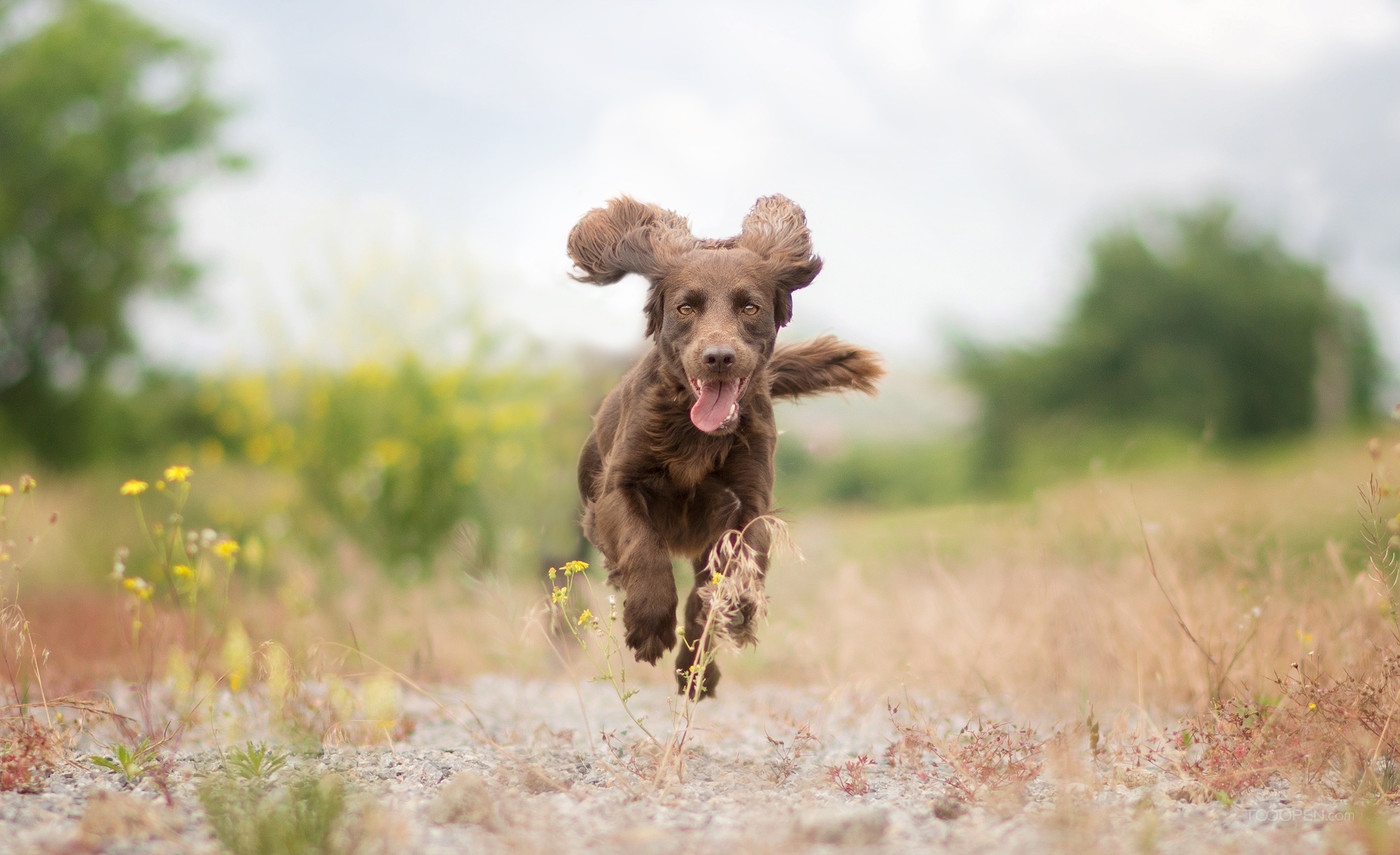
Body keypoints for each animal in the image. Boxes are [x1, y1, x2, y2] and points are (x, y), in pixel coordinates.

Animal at [562, 197, 879, 699]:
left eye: (749, 306)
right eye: (685, 307)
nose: (718, 357)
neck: (696, 435)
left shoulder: (747, 507)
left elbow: (724, 585)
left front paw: (712, 637)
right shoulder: (616, 491)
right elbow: (643, 545)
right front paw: (649, 624)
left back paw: (697, 671)